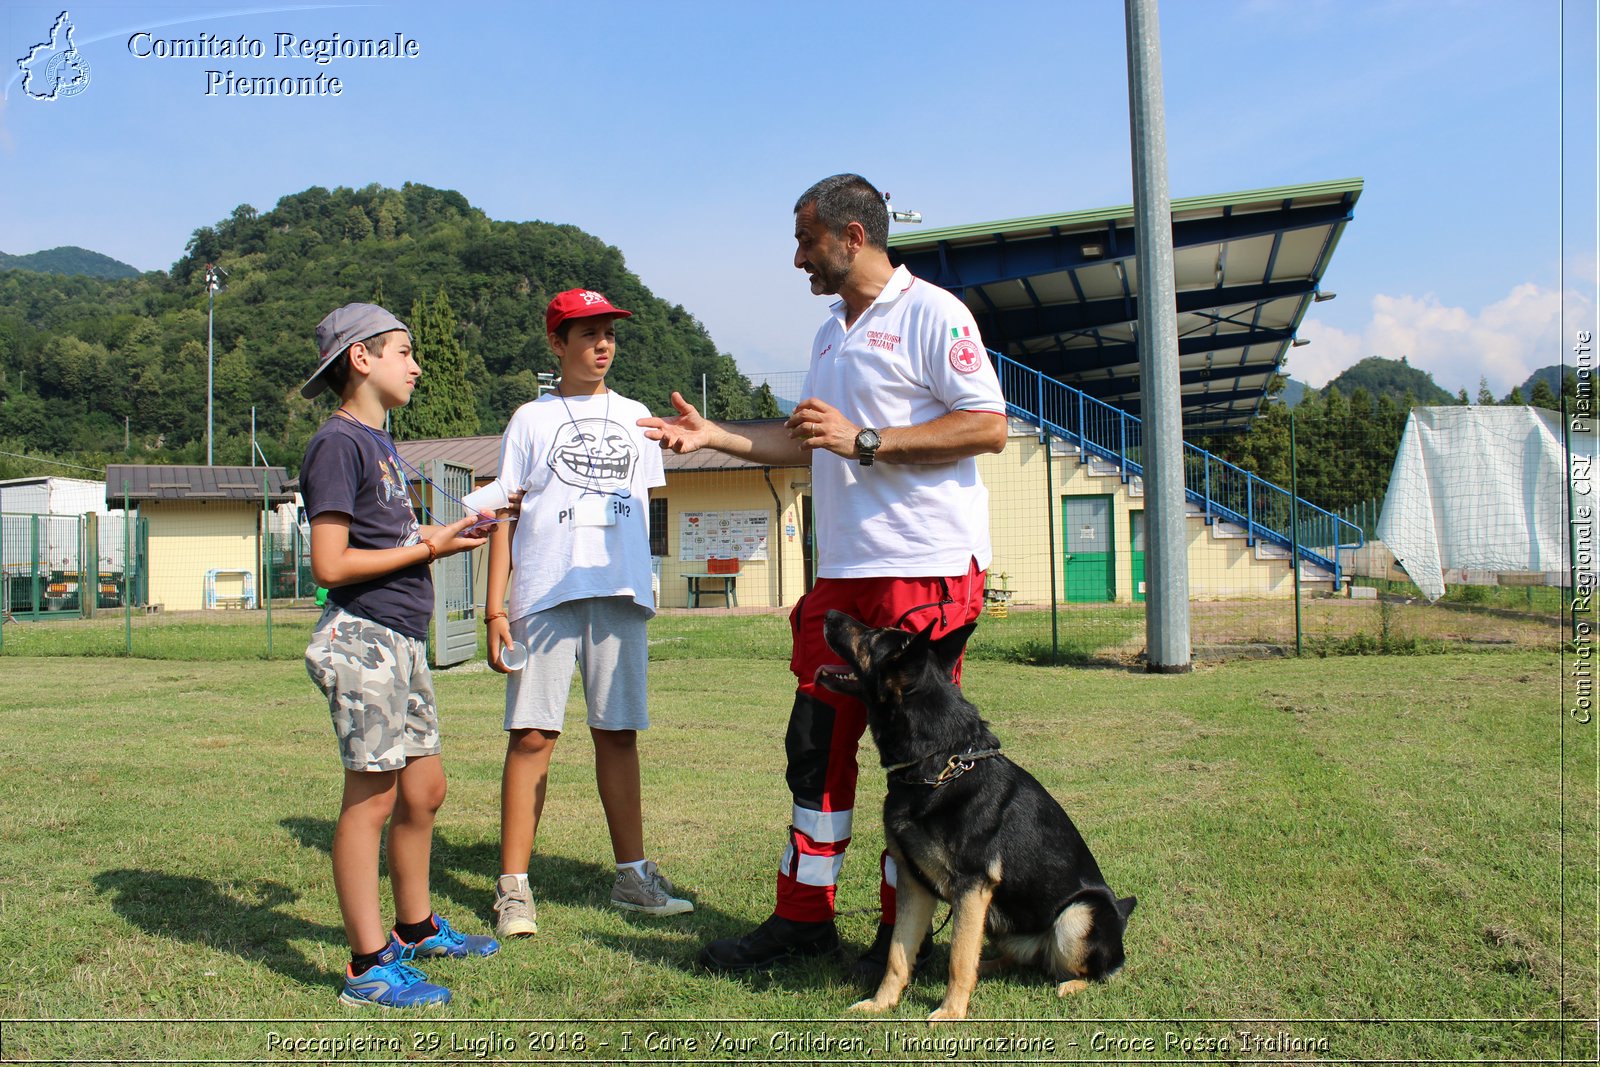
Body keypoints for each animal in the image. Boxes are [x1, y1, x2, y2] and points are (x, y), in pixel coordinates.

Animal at [819, 604, 1132, 1023]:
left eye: (873, 637)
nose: (827, 612)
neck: (938, 767)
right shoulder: (914, 883)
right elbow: (898, 955)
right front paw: (881, 1003)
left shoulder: (972, 887)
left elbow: (958, 958)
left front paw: (950, 1014)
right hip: (1002, 924)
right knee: (1024, 960)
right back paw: (989, 967)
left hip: (1078, 915)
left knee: (1091, 971)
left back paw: (1068, 984)